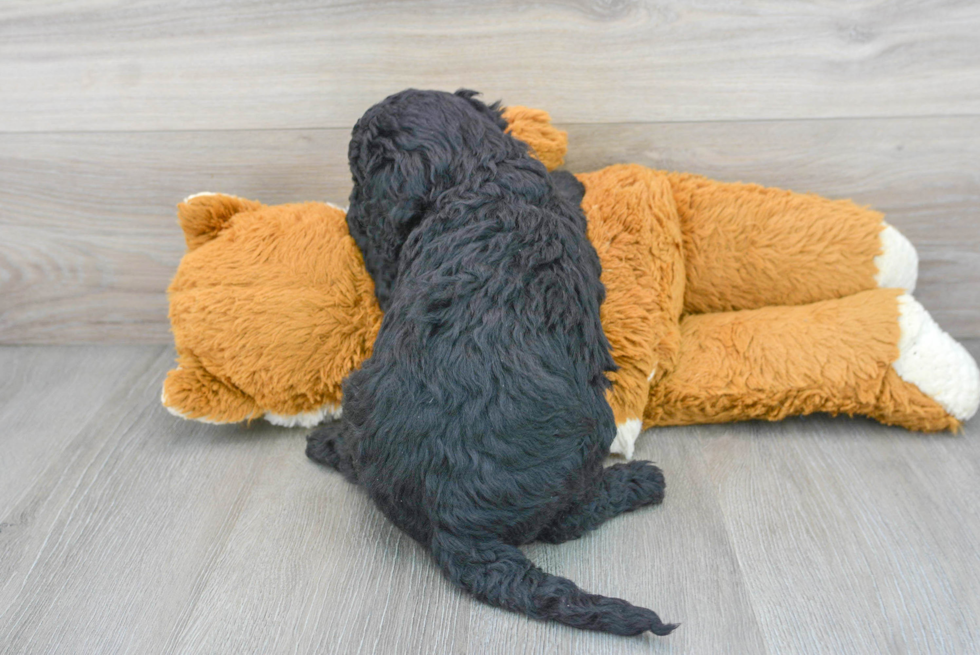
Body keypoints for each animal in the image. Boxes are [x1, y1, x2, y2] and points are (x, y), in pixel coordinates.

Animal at [306, 89, 672, 640]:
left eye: (357, 173)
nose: (350, 214)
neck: (473, 172)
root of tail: (452, 525)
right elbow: (564, 188)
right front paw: (572, 177)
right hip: (590, 430)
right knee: (567, 521)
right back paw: (639, 483)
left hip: (362, 393)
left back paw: (325, 442)